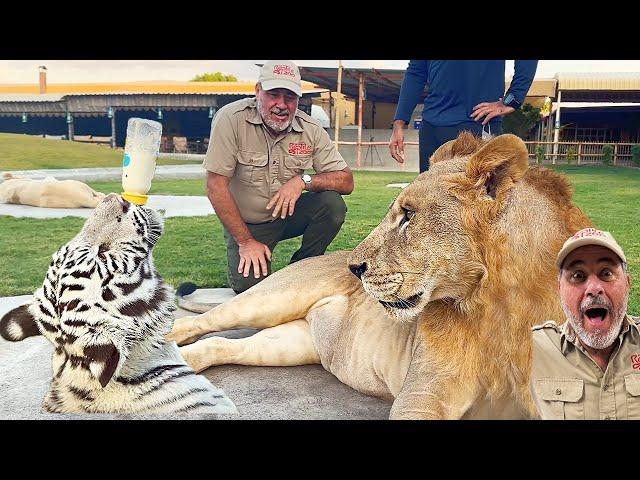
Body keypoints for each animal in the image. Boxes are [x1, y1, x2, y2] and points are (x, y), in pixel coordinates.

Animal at [165, 133, 592, 418]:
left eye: (408, 215)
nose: (353, 269)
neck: (503, 305)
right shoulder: (424, 393)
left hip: (292, 342)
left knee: (219, 345)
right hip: (271, 299)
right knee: (196, 324)